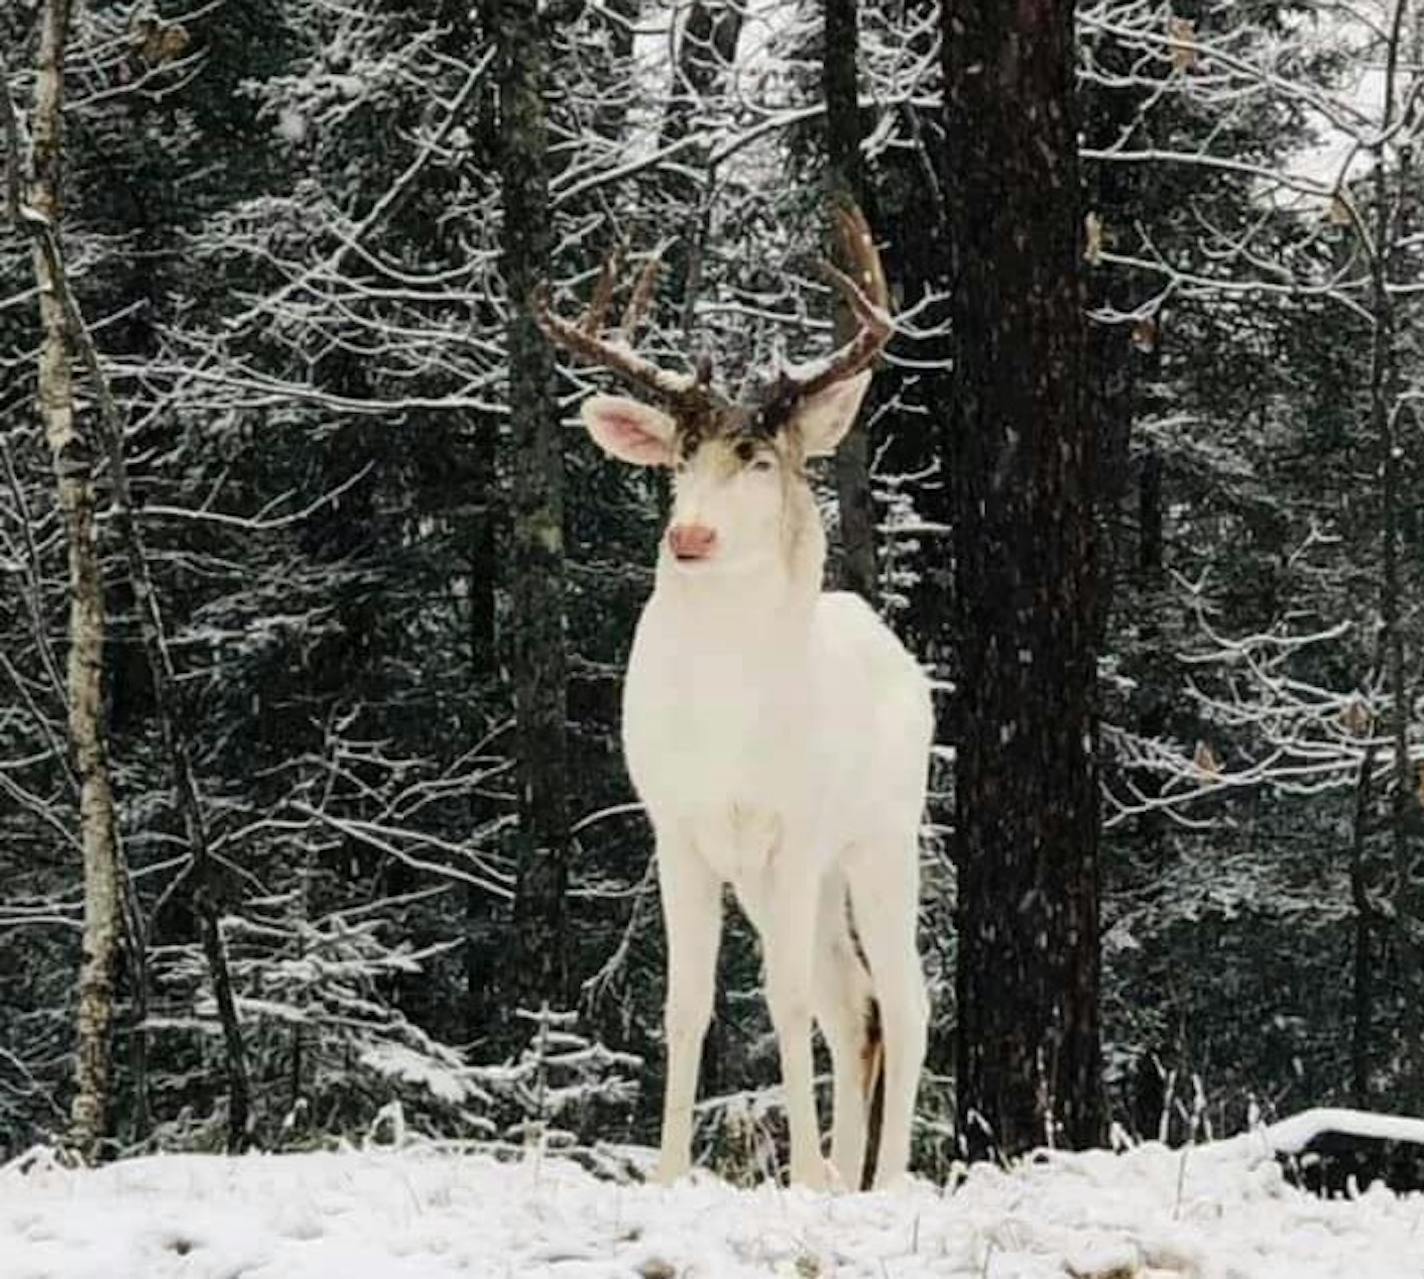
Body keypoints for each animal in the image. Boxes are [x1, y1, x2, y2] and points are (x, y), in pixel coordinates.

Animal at [535, 205, 934, 1190]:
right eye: (680, 458)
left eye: (758, 460)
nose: (690, 536)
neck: (726, 730)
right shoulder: (679, 828)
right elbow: (687, 1004)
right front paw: (671, 1173)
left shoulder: (796, 825)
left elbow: (782, 1000)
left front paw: (801, 1179)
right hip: (790, 873)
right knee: (855, 1001)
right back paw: (846, 1176)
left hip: (881, 832)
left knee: (904, 997)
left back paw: (881, 1179)